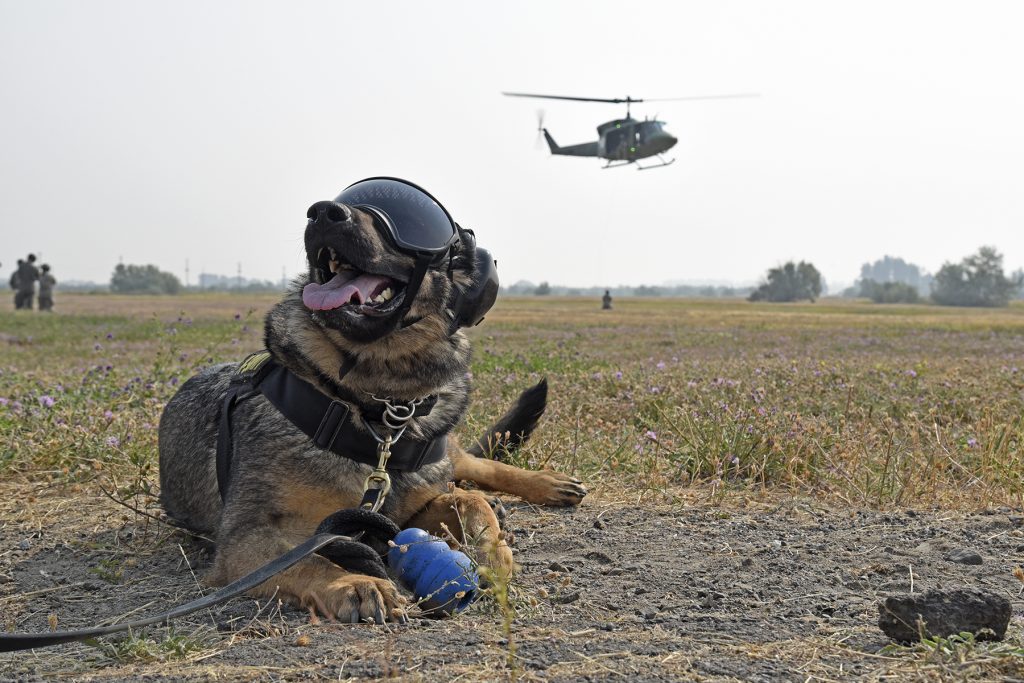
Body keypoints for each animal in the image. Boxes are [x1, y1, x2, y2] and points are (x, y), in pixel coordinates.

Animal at [162, 180, 589, 626]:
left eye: (414, 222)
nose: (323, 213)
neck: (377, 412)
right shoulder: (249, 539)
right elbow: (308, 560)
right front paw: (353, 582)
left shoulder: (406, 508)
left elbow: (468, 501)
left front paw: (495, 552)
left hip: (445, 455)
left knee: (475, 465)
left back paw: (547, 484)